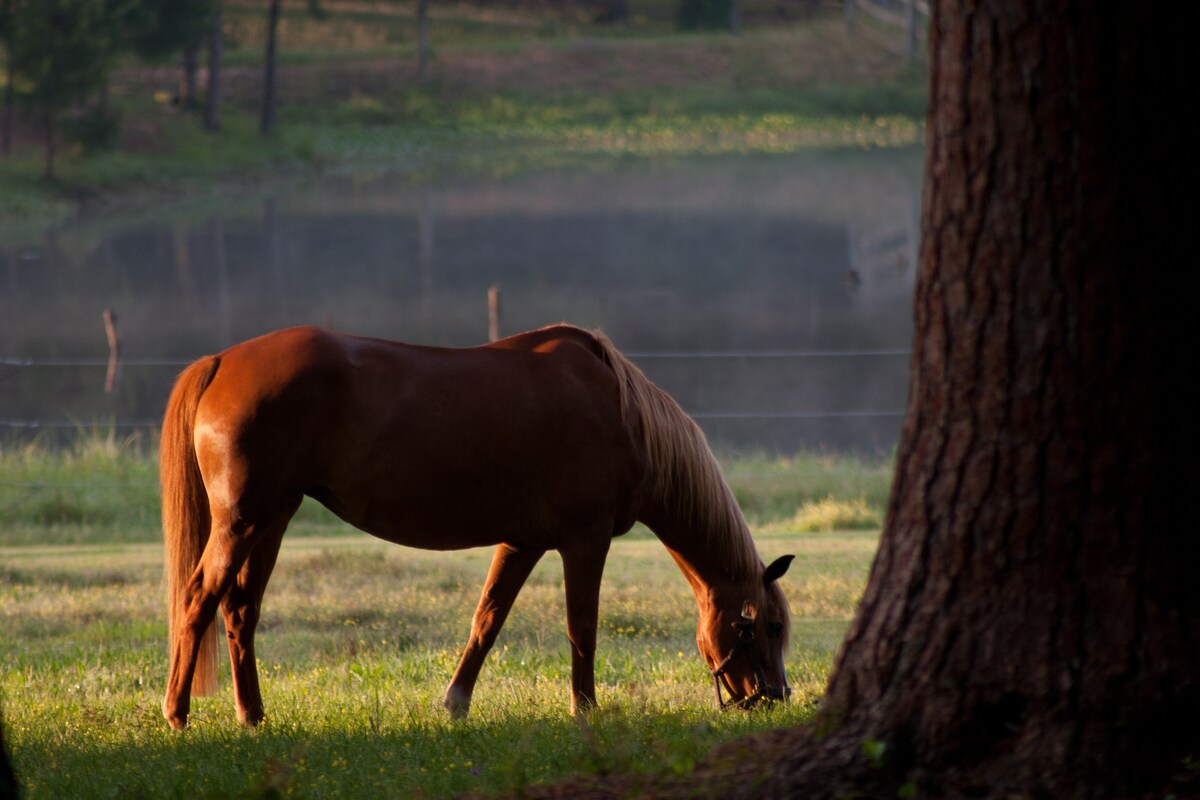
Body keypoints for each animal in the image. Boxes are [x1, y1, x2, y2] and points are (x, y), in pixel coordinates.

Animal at [162, 321, 796, 729]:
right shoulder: (584, 541)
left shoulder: (521, 542)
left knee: (240, 609)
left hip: (273, 518)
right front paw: (585, 710)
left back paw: (253, 716)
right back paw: (178, 713)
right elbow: (582, 629)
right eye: (762, 627)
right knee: (197, 599)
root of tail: (221, 362)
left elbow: (486, 621)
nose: (776, 696)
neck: (622, 410)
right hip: (243, 522)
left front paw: (455, 703)